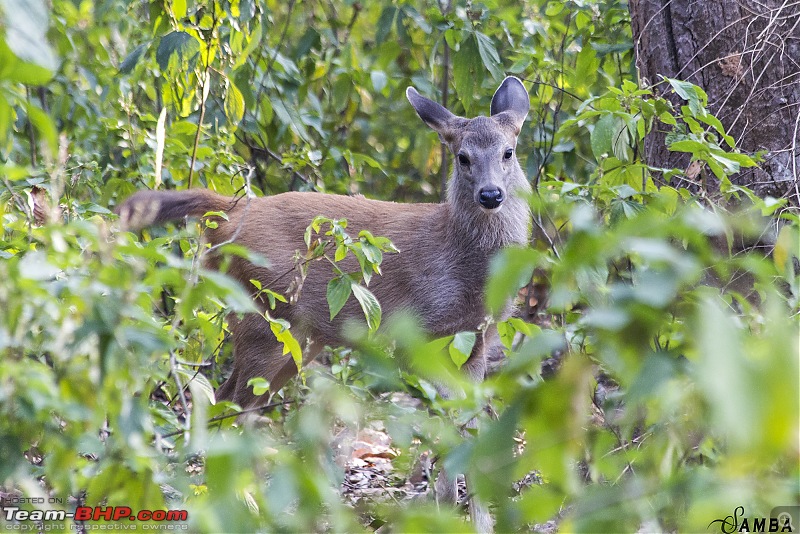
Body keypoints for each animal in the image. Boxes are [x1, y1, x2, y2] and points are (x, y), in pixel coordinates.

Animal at [117, 75, 532, 532]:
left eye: (508, 152)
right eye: (462, 157)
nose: (491, 194)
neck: (463, 264)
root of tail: (226, 212)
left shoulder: (476, 345)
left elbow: (472, 430)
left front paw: (476, 518)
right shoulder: (421, 332)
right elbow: (452, 429)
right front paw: (445, 507)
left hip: (297, 338)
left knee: (233, 404)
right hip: (265, 316)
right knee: (231, 404)